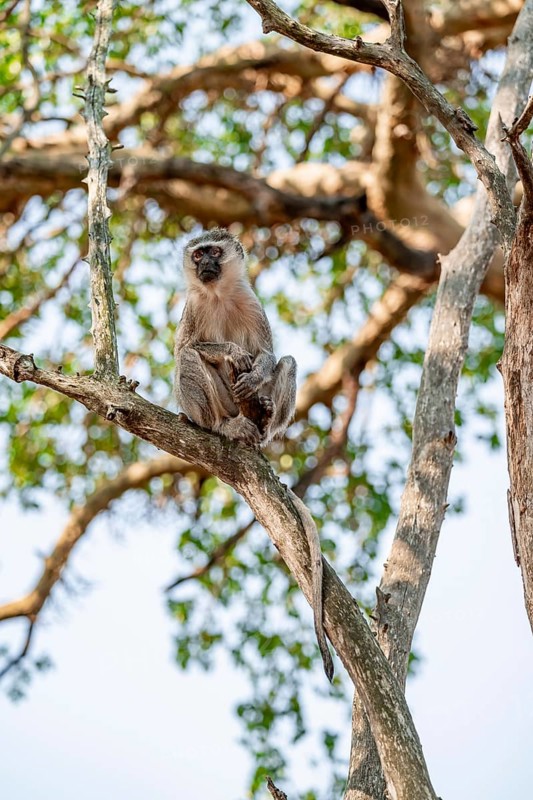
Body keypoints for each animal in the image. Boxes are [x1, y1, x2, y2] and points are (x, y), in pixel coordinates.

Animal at [174, 228, 334, 681]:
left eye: (214, 252)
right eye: (198, 255)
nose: (206, 266)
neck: (218, 295)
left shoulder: (252, 303)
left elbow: (268, 352)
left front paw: (258, 367)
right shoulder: (192, 308)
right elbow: (189, 347)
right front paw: (230, 351)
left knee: (289, 363)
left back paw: (261, 427)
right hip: (217, 406)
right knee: (188, 358)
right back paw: (221, 426)